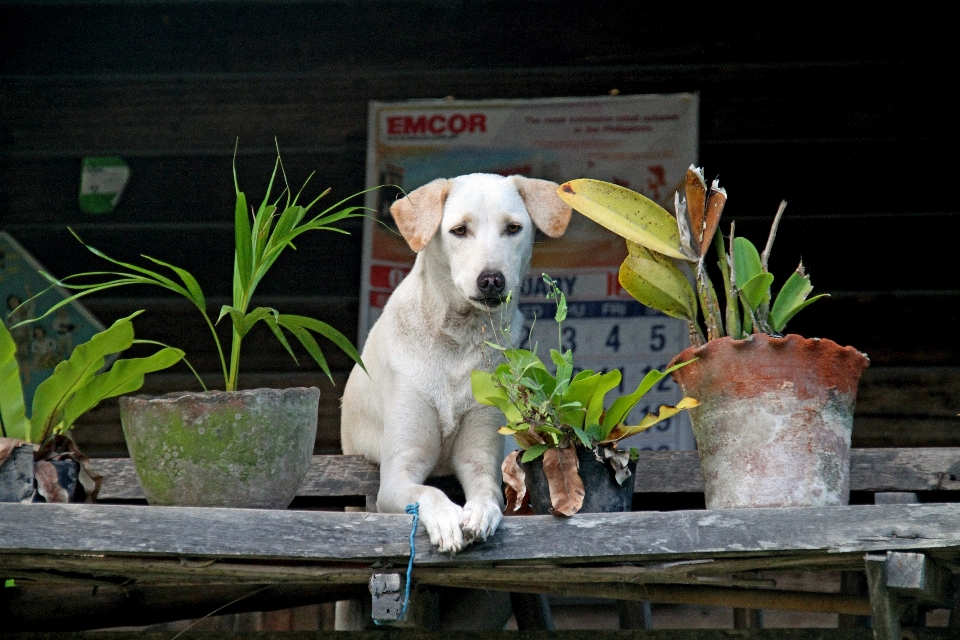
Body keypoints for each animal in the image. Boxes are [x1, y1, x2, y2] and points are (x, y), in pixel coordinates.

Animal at [342, 175, 568, 556]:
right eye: (459, 230)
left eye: (513, 228)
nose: (491, 280)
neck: (457, 343)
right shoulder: (398, 474)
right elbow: (429, 491)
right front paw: (446, 519)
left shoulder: (480, 461)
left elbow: (488, 494)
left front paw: (480, 513)